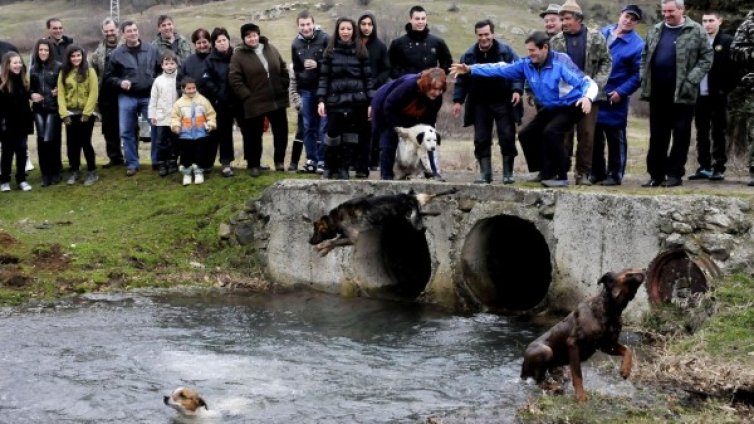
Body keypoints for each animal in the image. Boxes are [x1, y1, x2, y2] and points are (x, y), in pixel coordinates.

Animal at [304, 190, 456, 256]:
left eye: (316, 231)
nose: (309, 241)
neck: (336, 219)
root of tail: (409, 197)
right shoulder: (347, 236)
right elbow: (334, 242)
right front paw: (324, 250)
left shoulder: (353, 238)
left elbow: (334, 241)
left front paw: (322, 247)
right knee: (424, 214)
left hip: (412, 222)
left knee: (422, 226)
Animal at [520, 270, 644, 402]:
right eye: (628, 271)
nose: (643, 270)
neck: (611, 310)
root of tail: (523, 366)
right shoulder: (573, 344)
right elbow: (578, 375)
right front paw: (581, 397)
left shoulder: (607, 345)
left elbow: (628, 349)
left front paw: (625, 369)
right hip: (546, 350)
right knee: (539, 381)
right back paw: (556, 388)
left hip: (558, 366)